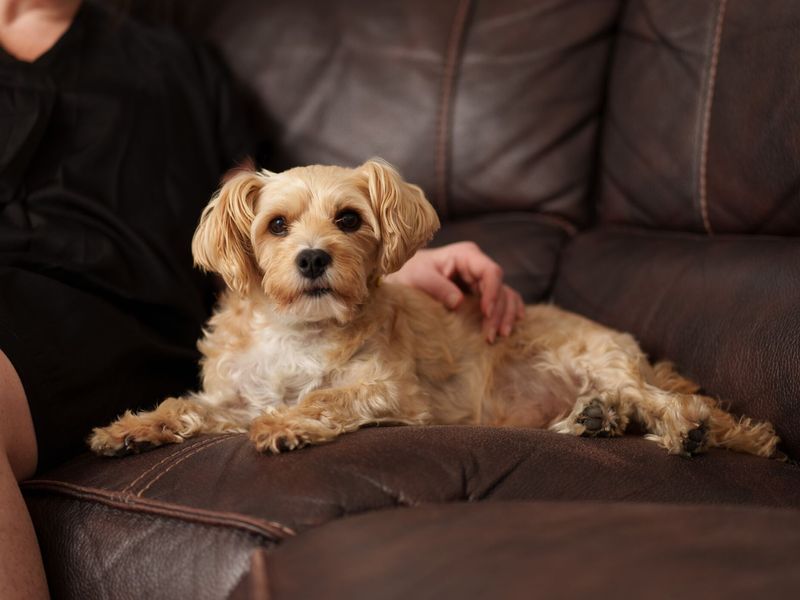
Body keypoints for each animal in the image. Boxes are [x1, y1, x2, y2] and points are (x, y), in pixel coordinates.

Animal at [89, 159, 780, 460]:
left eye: (348, 219)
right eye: (277, 225)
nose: (312, 258)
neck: (301, 330)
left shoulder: (391, 390)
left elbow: (326, 396)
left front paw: (286, 425)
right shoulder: (233, 399)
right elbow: (186, 407)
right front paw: (130, 429)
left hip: (597, 359)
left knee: (673, 403)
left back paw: (684, 429)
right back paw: (598, 421)